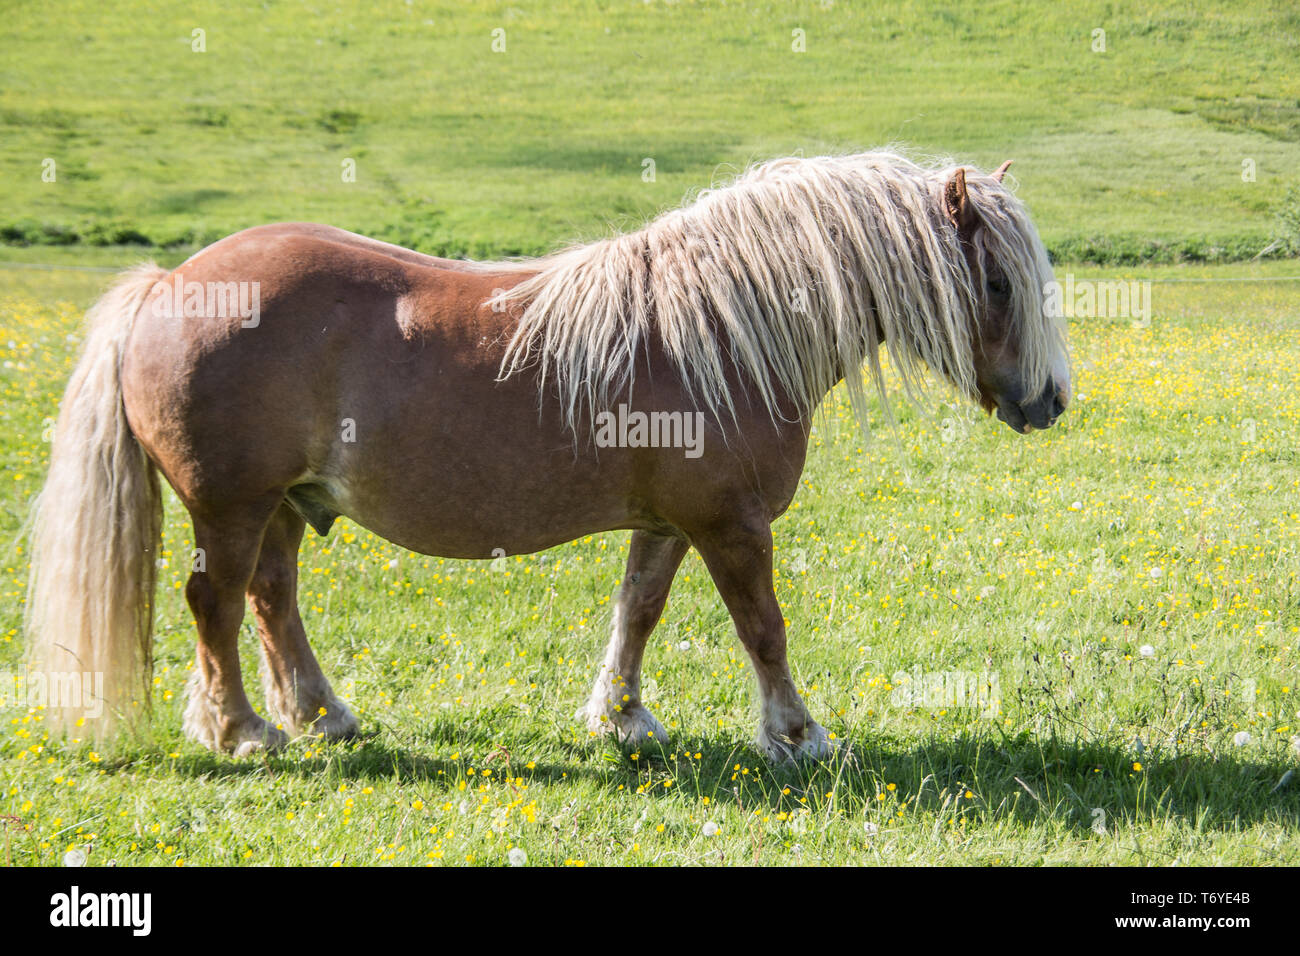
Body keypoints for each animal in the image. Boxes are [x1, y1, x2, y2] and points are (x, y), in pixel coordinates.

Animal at [27, 149, 1066, 764]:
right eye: (999, 281)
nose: (1050, 401)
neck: (718, 328)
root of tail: (172, 281)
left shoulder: (672, 523)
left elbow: (637, 612)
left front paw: (623, 718)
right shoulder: (731, 525)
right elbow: (763, 629)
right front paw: (798, 734)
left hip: (284, 503)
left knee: (271, 601)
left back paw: (322, 717)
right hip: (232, 505)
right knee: (215, 604)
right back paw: (243, 733)